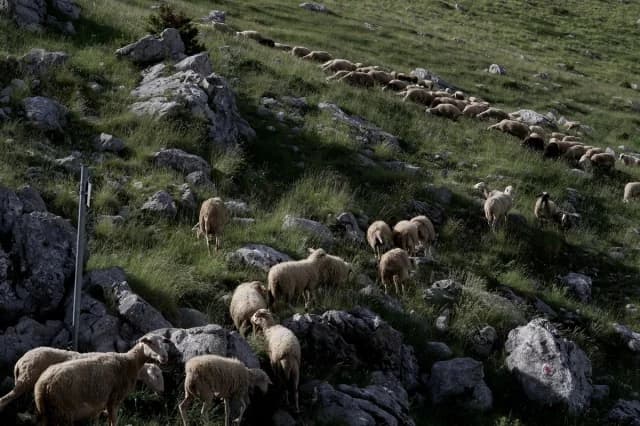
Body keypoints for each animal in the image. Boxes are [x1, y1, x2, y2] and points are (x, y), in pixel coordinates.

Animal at [34, 336, 168, 426]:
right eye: (150, 342)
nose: (165, 357)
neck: (130, 362)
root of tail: (43, 384)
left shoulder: (100, 403)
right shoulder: (114, 400)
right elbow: (113, 421)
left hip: (47, 413)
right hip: (63, 411)